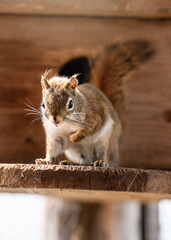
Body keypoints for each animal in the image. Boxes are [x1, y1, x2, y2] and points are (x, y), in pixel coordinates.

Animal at [35, 39, 154, 167]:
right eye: (43, 105)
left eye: (70, 104)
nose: (55, 119)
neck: (65, 125)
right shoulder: (55, 136)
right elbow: (52, 150)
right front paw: (45, 160)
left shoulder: (93, 118)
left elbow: (89, 130)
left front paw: (73, 138)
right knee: (84, 162)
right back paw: (71, 162)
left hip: (106, 143)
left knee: (105, 156)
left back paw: (101, 162)